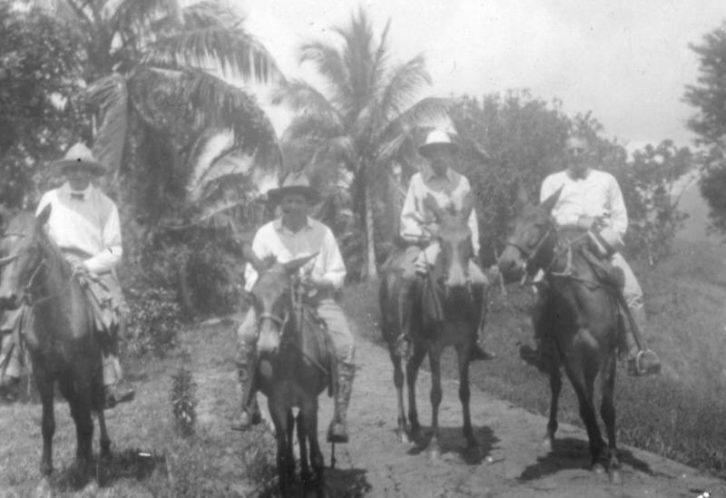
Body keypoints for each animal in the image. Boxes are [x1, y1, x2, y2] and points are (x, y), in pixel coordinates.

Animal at [0, 205, 111, 478]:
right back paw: (81, 455)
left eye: (32, 248)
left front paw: (88, 469)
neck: (56, 316)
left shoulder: (81, 371)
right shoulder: (45, 374)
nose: (7, 298)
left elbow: (87, 419)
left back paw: (103, 451)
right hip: (66, 381)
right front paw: (47, 468)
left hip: (92, 374)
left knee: (96, 407)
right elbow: (49, 423)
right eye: (3, 249)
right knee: (77, 411)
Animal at [243, 247, 336, 496]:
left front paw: (315, 481)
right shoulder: (276, 404)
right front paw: (288, 479)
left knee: (302, 429)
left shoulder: (310, 402)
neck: (290, 363)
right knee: (294, 427)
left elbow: (317, 457)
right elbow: (282, 456)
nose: (266, 347)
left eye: (285, 293)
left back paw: (304, 473)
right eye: (253, 296)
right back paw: (298, 473)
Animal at [382, 194, 484, 460]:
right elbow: (436, 393)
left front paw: (471, 440)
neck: (453, 303)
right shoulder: (435, 346)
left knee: (412, 373)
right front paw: (436, 444)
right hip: (392, 339)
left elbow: (464, 391)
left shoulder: (463, 345)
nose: (457, 283)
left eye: (468, 237)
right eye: (440, 240)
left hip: (418, 344)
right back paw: (403, 429)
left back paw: (417, 425)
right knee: (399, 377)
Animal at [500, 187, 624, 482]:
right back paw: (551, 435)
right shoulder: (571, 359)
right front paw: (597, 457)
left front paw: (613, 463)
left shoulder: (607, 356)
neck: (580, 302)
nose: (507, 265)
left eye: (540, 225)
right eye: (510, 225)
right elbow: (585, 407)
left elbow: (606, 408)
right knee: (557, 387)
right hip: (557, 357)